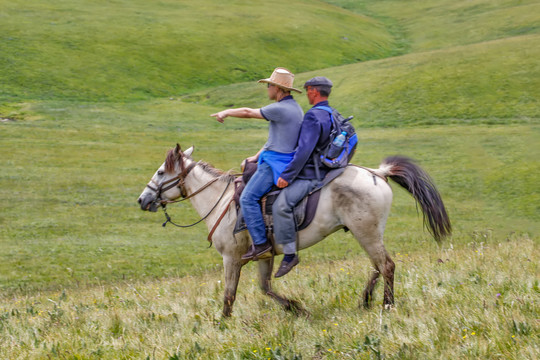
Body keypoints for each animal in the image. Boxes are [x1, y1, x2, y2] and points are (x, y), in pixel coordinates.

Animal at [137, 145, 450, 316]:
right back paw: (365, 301)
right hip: (367, 233)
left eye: (161, 172)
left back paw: (386, 305)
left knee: (386, 265)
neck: (221, 201)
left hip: (367, 233)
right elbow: (266, 288)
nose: (142, 199)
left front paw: (222, 324)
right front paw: (297, 309)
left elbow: (229, 294)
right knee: (377, 265)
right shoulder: (263, 256)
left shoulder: (231, 258)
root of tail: (377, 173)